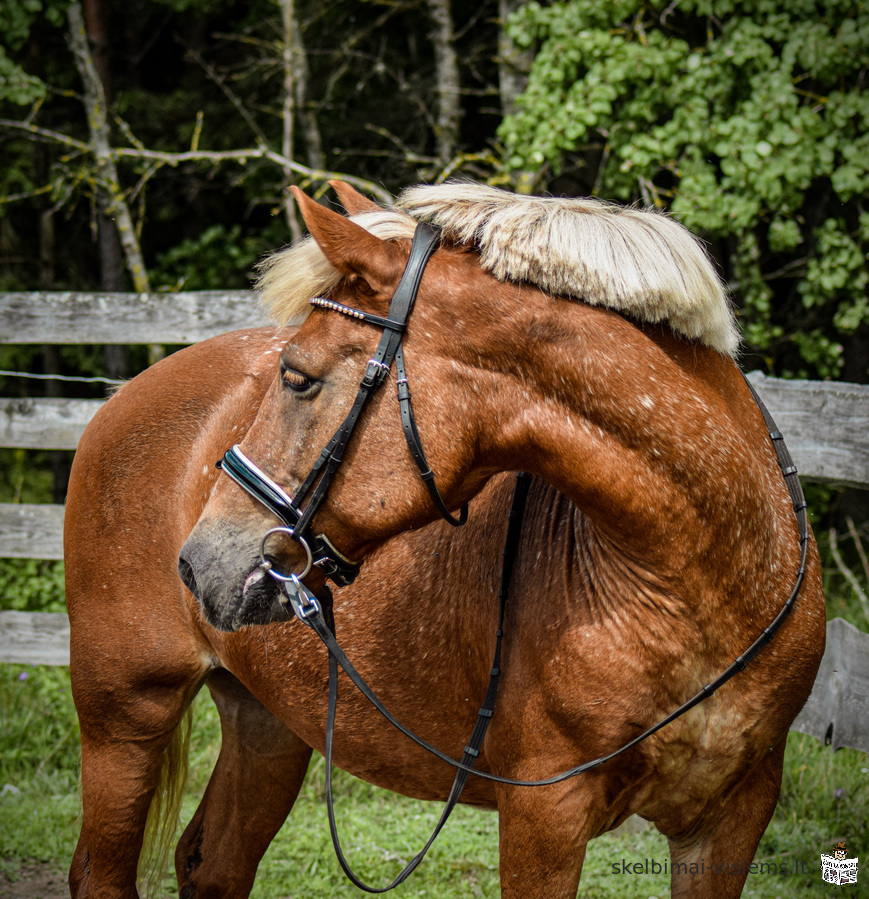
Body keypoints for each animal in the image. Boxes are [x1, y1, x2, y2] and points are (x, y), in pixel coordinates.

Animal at [64, 179, 824, 896]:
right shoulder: (545, 813)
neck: (696, 588)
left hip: (267, 722)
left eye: (297, 377)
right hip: (125, 714)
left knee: (213, 865)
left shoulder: (733, 814)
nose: (200, 562)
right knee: (101, 874)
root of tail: (125, 395)